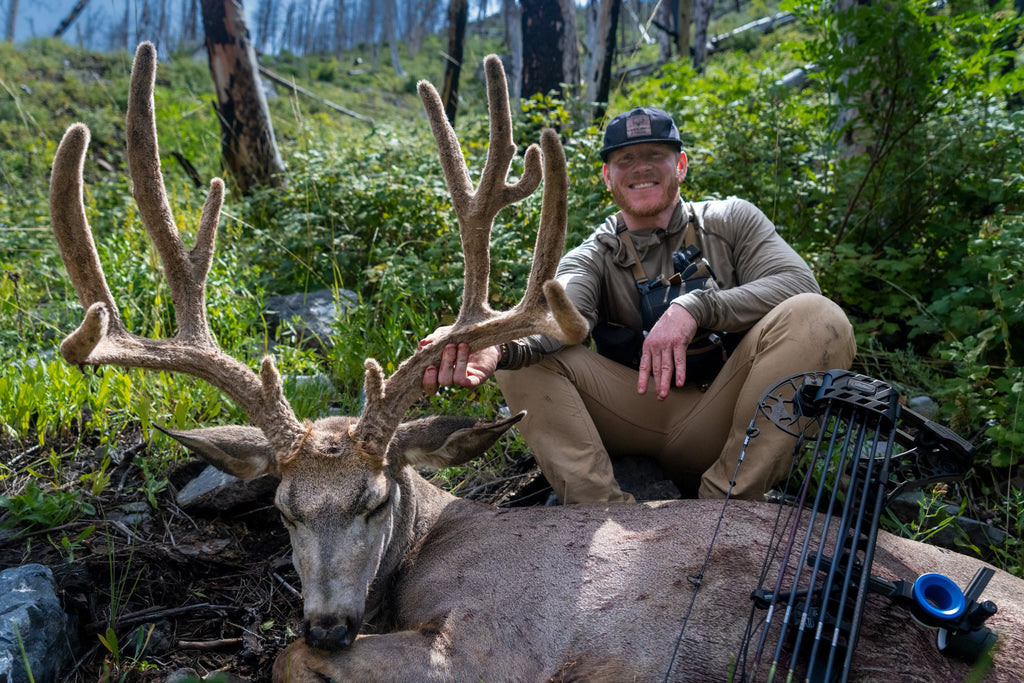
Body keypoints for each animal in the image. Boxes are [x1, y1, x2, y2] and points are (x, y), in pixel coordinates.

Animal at [51, 42, 1024, 683]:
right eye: (283, 508)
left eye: (374, 500)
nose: (329, 621)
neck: (435, 541)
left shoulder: (492, 644)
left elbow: (287, 658)